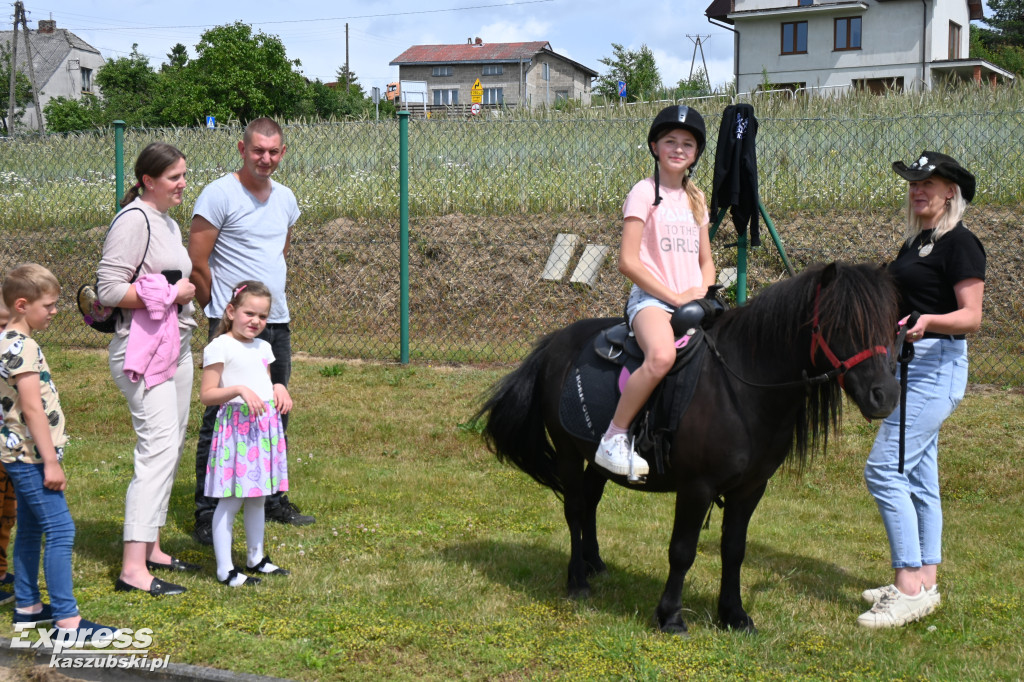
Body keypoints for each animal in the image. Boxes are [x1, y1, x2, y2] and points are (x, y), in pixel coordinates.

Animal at [475, 260, 901, 630]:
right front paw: (670, 616)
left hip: (595, 458)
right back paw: (578, 580)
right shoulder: (697, 487)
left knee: (591, 502)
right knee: (576, 509)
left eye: (892, 325)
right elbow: (682, 550)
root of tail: (554, 342)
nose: (885, 395)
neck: (741, 386)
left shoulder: (751, 488)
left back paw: (594, 563)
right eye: (840, 324)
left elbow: (734, 549)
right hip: (566, 452)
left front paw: (733, 615)